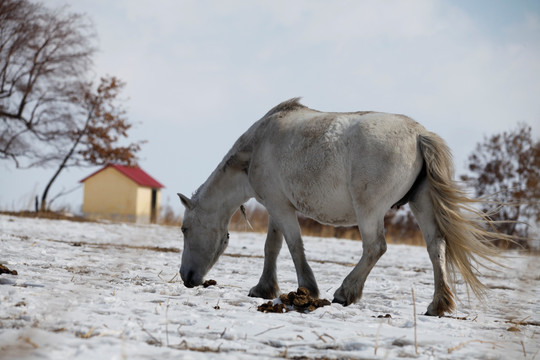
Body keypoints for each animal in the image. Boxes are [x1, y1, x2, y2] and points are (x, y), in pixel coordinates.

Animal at [179, 97, 504, 316]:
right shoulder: (276, 206)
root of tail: (419, 134)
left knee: (375, 247)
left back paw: (346, 292)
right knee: (436, 248)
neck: (256, 148)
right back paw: (437, 304)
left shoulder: (281, 208)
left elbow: (294, 246)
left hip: (369, 210)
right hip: (421, 204)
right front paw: (263, 289)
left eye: (184, 229)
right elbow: (273, 247)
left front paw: (307, 290)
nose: (186, 278)